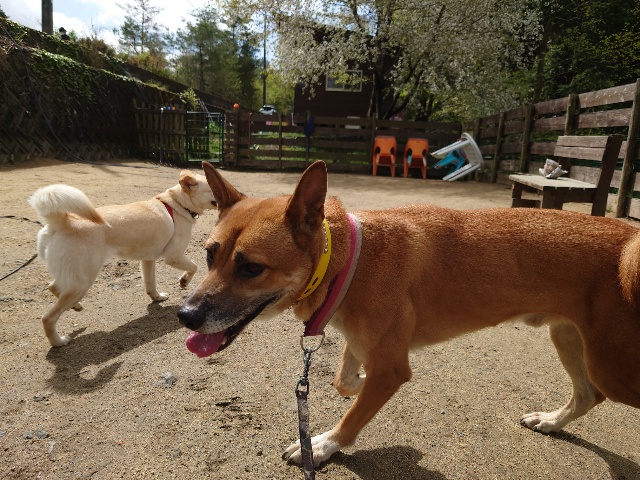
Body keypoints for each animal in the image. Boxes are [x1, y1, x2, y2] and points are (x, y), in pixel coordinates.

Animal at [29, 169, 216, 347]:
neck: (177, 204)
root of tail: (63, 221)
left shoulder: (148, 260)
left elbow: (150, 284)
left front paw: (157, 297)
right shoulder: (174, 256)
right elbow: (194, 267)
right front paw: (184, 281)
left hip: (73, 276)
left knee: (53, 287)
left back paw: (75, 306)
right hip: (82, 281)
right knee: (48, 317)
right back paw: (58, 341)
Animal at [178, 160, 640, 467]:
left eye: (251, 268)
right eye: (210, 255)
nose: (186, 315)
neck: (350, 261)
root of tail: (629, 242)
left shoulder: (391, 368)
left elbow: (352, 415)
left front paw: (323, 444)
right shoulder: (364, 342)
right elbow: (344, 380)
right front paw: (354, 382)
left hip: (612, 367)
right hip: (569, 338)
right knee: (587, 395)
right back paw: (551, 421)